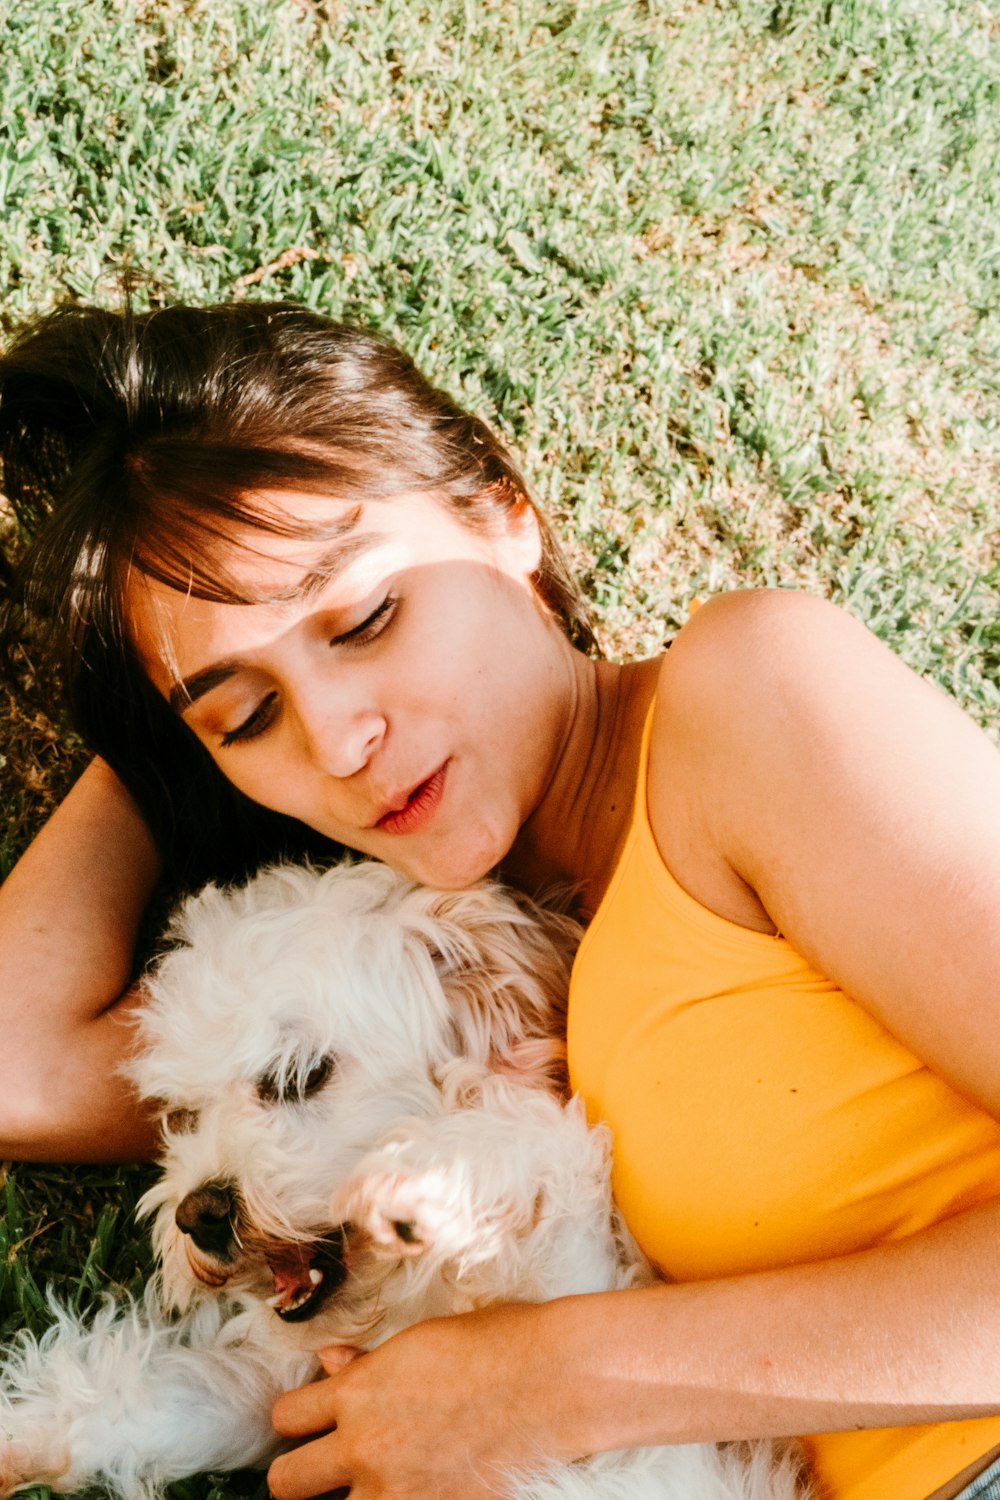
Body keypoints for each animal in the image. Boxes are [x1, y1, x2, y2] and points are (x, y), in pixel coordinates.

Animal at [0, 858, 809, 1500]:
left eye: (298, 1075)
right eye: (184, 1112)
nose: (199, 1214)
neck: (414, 1304)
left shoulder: (586, 1328)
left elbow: (531, 1162)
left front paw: (426, 1177)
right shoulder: (286, 1392)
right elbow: (146, 1399)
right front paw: (20, 1437)